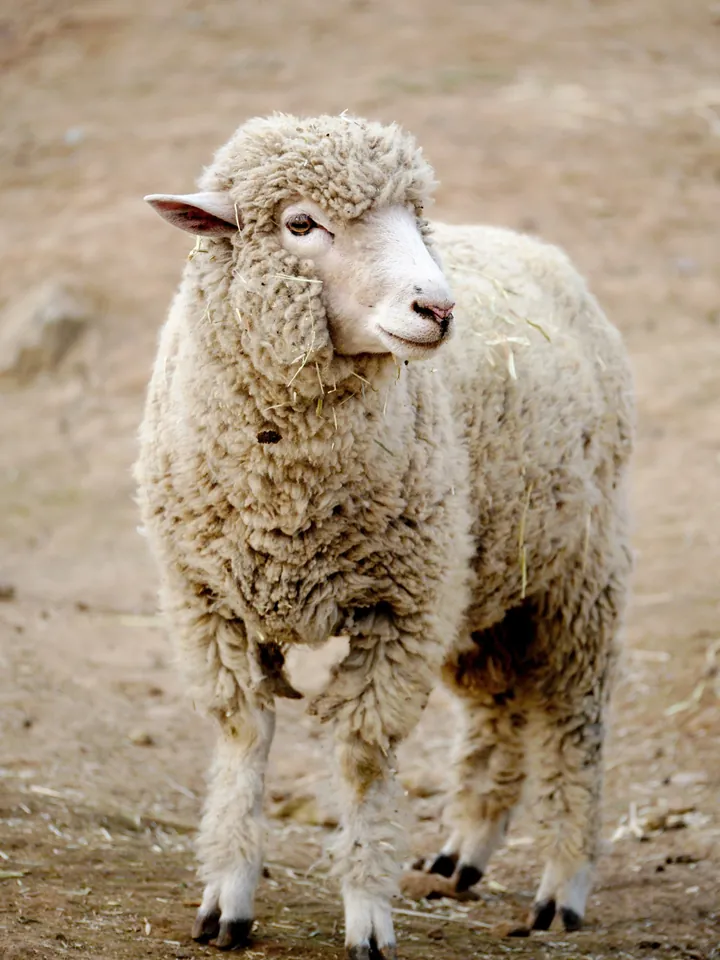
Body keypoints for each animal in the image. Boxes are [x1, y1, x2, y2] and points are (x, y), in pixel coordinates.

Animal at [135, 112, 634, 957]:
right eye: (301, 223)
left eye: (413, 219)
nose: (438, 309)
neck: (288, 498)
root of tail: (533, 245)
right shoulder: (210, 602)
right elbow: (243, 739)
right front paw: (226, 896)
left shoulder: (399, 612)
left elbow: (365, 760)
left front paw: (367, 913)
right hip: (481, 582)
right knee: (499, 709)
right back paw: (465, 850)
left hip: (575, 578)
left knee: (574, 725)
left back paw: (561, 888)